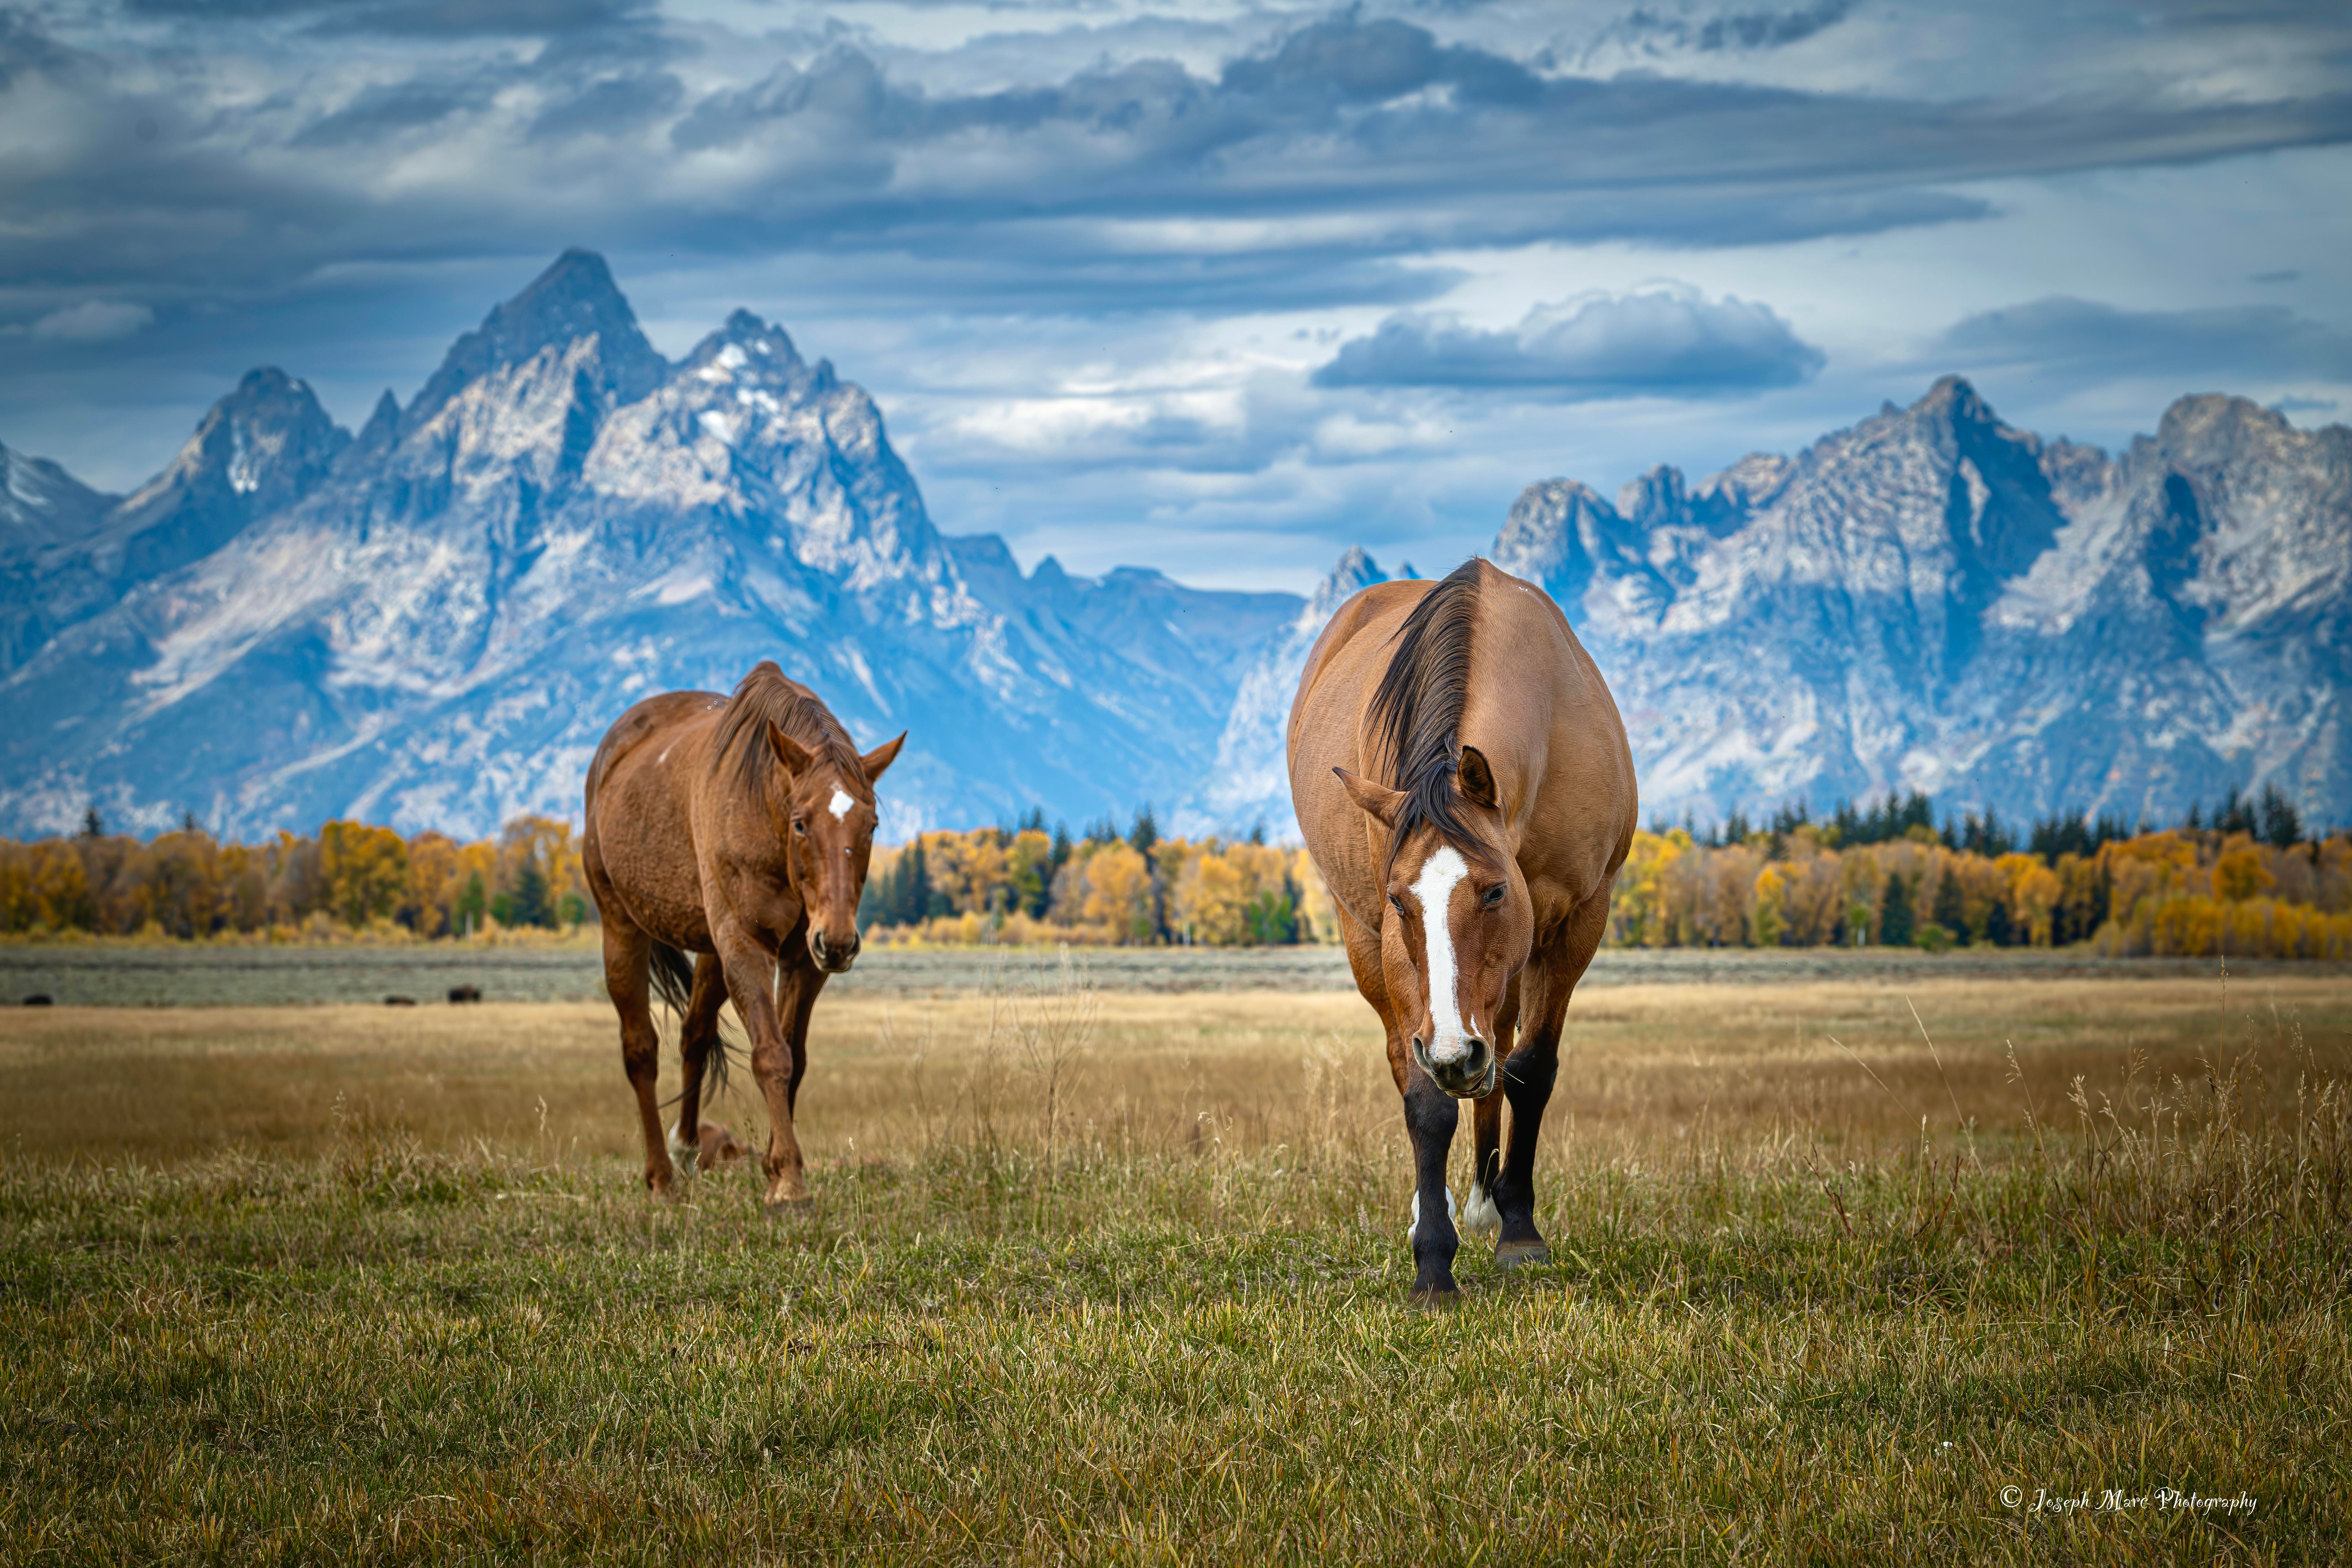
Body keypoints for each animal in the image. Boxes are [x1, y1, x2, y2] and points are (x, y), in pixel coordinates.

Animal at [582, 661, 904, 1207]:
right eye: (801, 823)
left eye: (872, 824)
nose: (840, 941)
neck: (763, 813)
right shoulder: (746, 944)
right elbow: (771, 1054)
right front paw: (789, 1182)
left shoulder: (804, 958)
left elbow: (795, 1056)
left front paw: (776, 1168)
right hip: (622, 928)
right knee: (640, 1049)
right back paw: (661, 1176)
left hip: (714, 952)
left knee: (694, 1034)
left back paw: (687, 1148)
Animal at [1288, 558, 1635, 1301]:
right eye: (1400, 901)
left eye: (1495, 890)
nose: (1453, 1053)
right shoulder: (1392, 944)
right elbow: (1426, 1100)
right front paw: (1432, 1263)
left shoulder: (1578, 920)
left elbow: (1529, 1071)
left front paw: (1519, 1232)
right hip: (1368, 949)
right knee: (1410, 1060)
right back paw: (1439, 1207)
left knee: (1498, 1055)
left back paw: (1488, 1200)